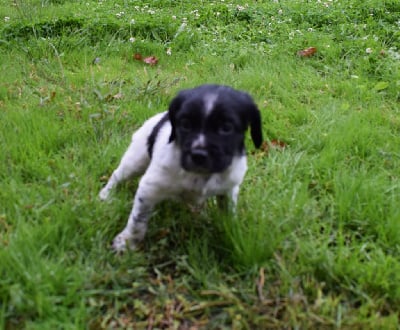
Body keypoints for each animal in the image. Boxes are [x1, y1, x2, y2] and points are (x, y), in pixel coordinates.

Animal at [99, 84, 262, 251]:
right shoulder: (150, 187)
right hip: (136, 160)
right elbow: (138, 219)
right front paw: (126, 242)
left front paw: (232, 234)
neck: (200, 175)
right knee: (117, 175)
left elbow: (228, 215)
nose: (198, 155)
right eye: (185, 125)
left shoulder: (229, 188)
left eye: (226, 128)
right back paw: (106, 194)